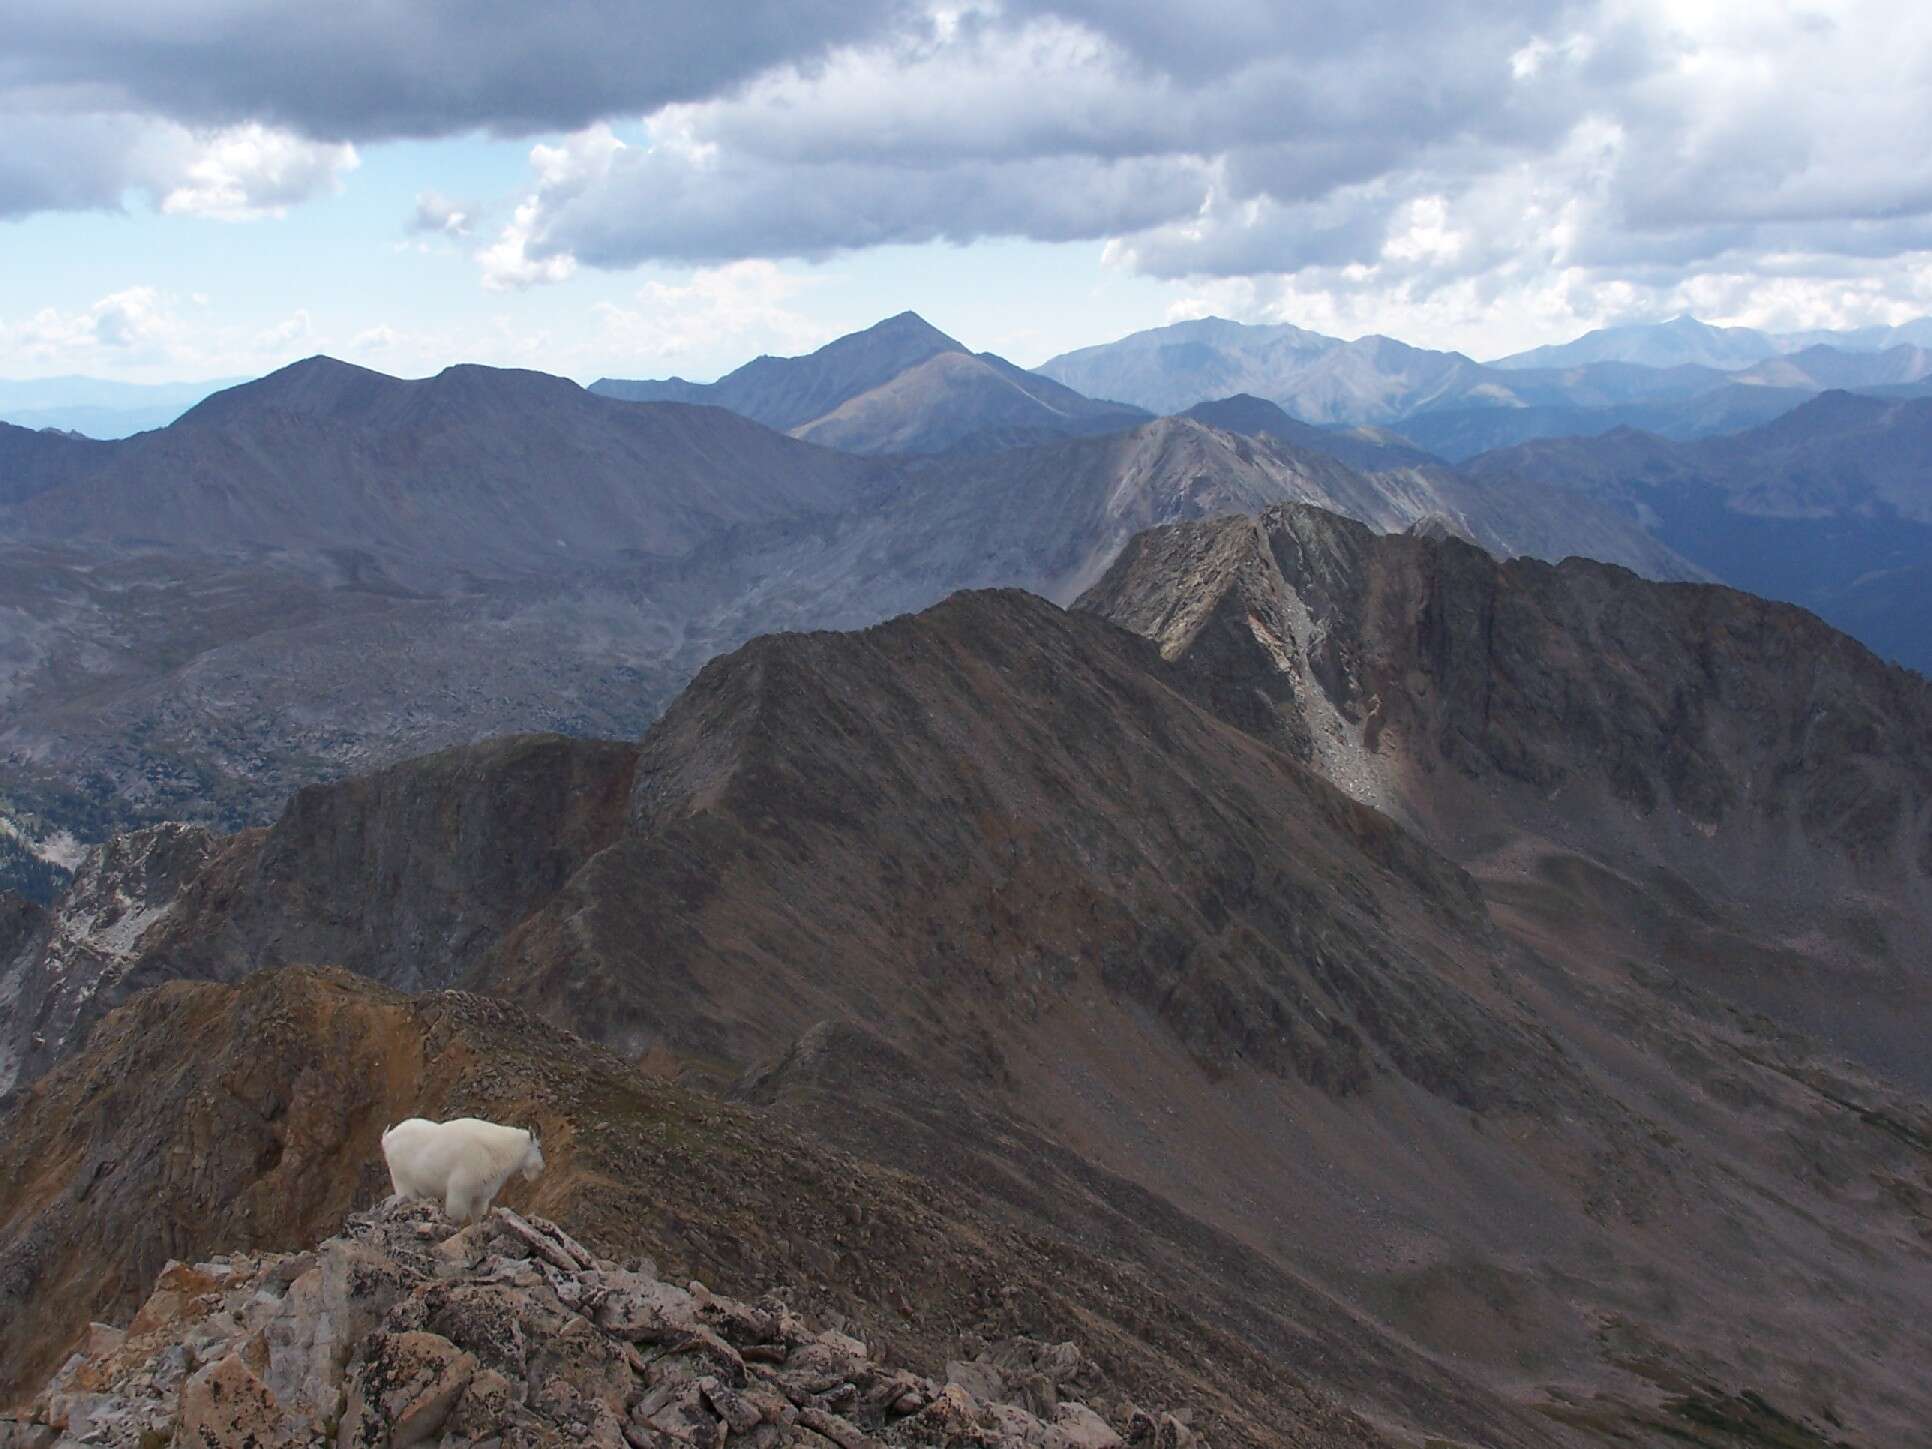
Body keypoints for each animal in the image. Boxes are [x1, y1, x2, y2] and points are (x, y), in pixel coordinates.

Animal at [380, 1120, 544, 1228]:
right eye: (539, 1146)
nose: (541, 1167)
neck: (497, 1150)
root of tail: (387, 1138)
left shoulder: (481, 1195)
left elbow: (477, 1217)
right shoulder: (459, 1190)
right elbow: (456, 1217)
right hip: (402, 1180)